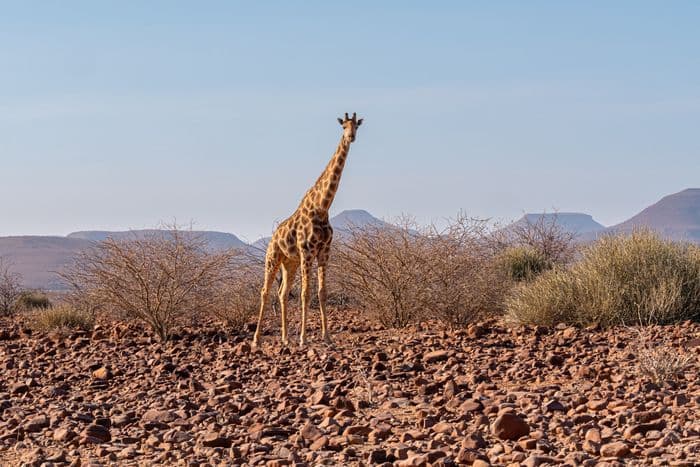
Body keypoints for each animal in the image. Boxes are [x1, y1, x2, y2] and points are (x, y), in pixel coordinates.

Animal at [252, 112, 364, 348]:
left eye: (357, 126)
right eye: (343, 126)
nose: (351, 137)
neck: (322, 208)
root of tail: (273, 237)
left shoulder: (324, 252)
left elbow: (322, 292)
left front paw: (327, 337)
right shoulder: (307, 252)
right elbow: (305, 293)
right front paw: (304, 338)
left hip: (289, 263)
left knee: (282, 293)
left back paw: (285, 338)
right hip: (273, 258)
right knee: (265, 291)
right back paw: (257, 339)